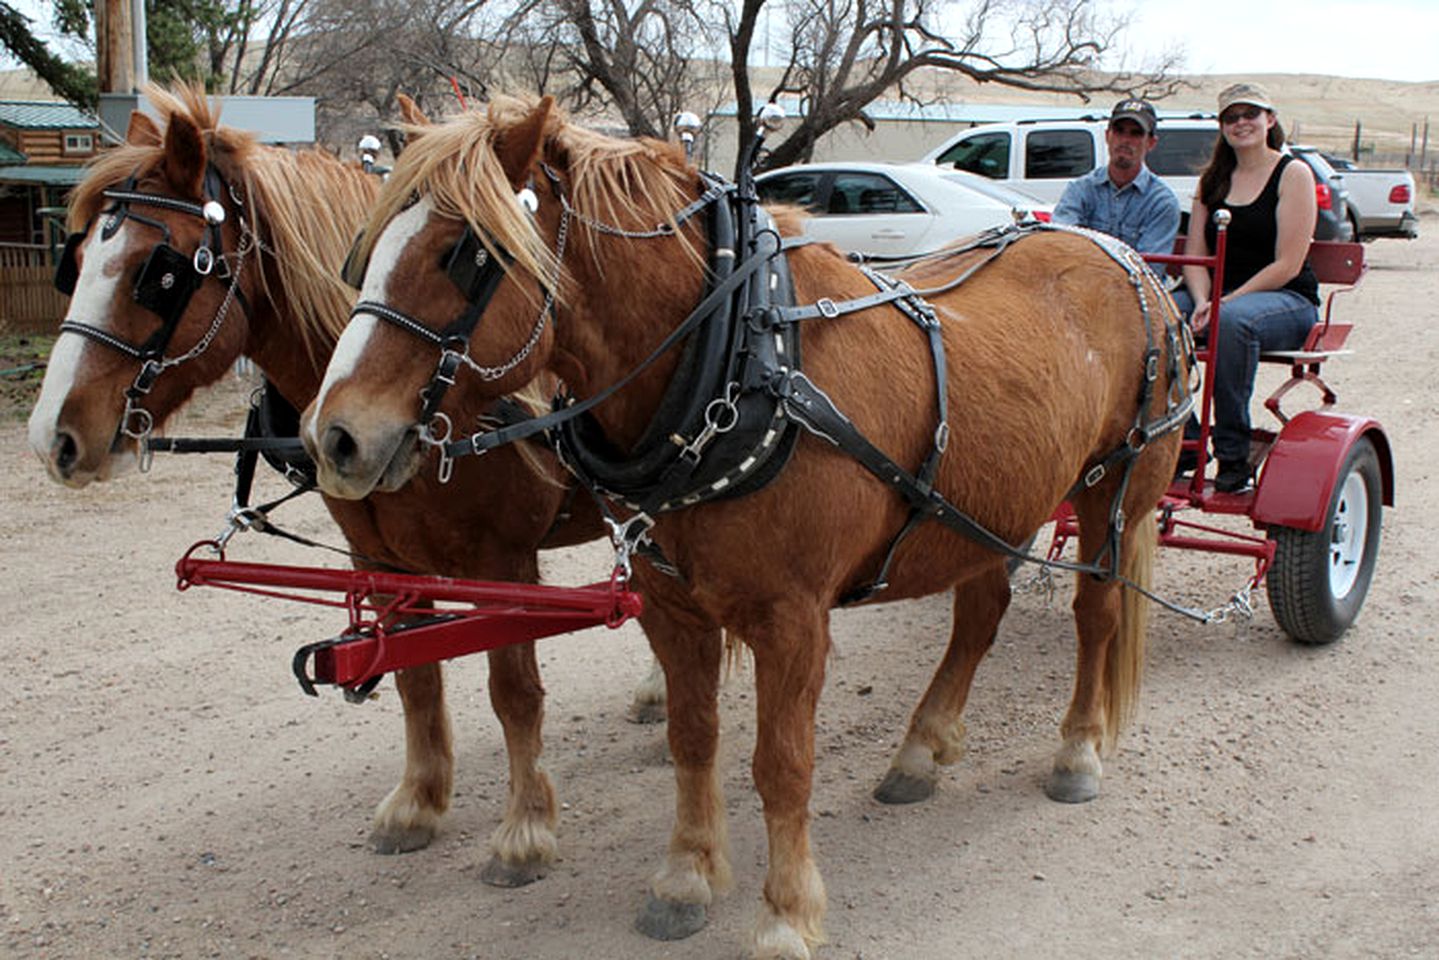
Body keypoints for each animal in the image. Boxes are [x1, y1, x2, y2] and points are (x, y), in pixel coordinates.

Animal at [26, 86, 667, 892]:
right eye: (76, 259)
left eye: (159, 272)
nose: (52, 436)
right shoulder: (380, 557)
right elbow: (415, 677)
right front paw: (417, 804)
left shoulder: (504, 560)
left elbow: (513, 690)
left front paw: (523, 831)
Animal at [300, 93, 1179, 955]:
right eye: (364, 249)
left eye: (464, 254)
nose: (334, 436)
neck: (743, 366)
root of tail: (1121, 257)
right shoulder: (670, 607)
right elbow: (693, 737)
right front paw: (685, 878)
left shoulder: (791, 620)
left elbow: (781, 763)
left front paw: (785, 915)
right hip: (985, 510)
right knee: (979, 614)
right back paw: (920, 751)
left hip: (1114, 491)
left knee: (1095, 614)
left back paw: (1075, 751)